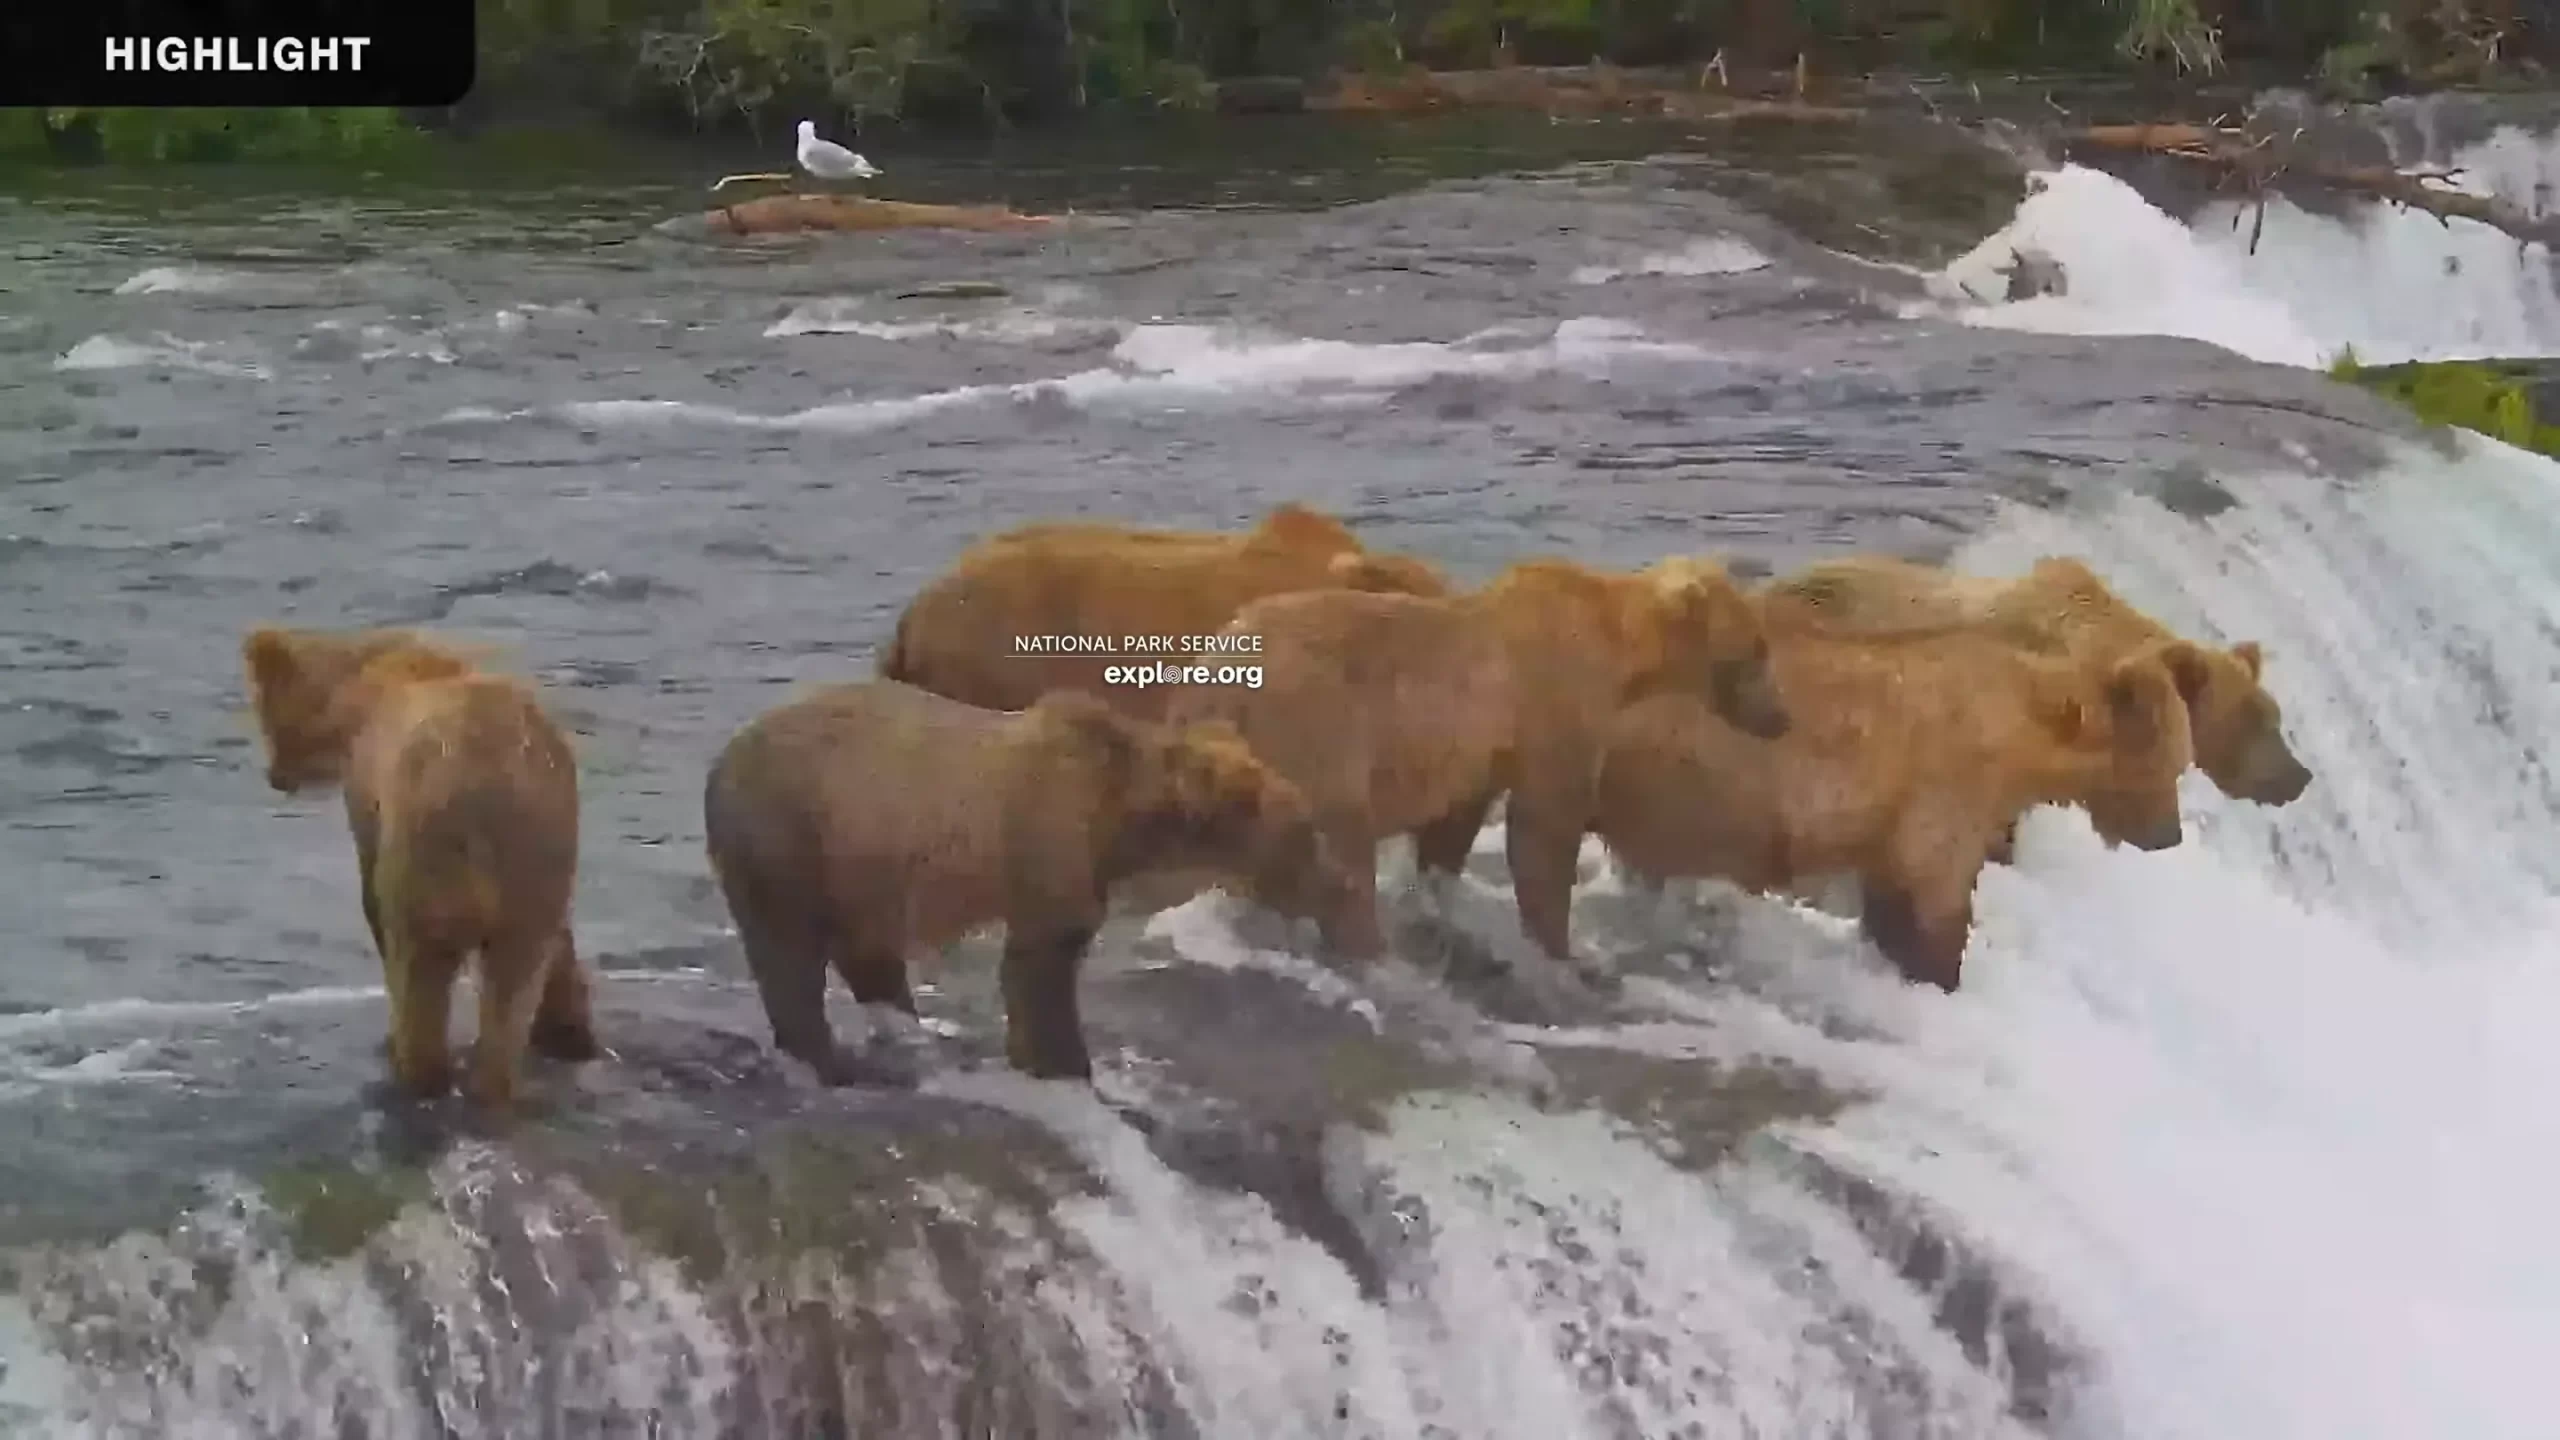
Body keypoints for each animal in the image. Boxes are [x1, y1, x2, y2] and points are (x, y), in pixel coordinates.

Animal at [240, 626, 597, 1109]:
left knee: (420, 969)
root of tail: (485, 788)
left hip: (428, 848)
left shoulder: (369, 789)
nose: (274, 776)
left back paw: (412, 1070)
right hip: (535, 845)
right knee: (512, 984)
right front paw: (568, 1030)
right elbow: (558, 946)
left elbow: (372, 894)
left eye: (261, 707)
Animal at [700, 679, 1356, 1083]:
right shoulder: (1045, 837)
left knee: (863, 949)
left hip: (856, 862)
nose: (1340, 881)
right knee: (787, 948)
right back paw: (826, 1055)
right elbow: (1040, 963)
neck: (1122, 814)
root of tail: (720, 762)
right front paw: (1064, 1062)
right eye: (1305, 827)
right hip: (792, 827)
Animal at [1160, 554, 1791, 966]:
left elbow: (1454, 822)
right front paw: (1567, 950)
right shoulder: (1551, 704)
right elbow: (1545, 827)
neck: (1625, 654)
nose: (1781, 718)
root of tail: (1215, 669)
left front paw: (1438, 904)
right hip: (1316, 724)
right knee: (1340, 840)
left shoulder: (1478, 749)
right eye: (1756, 648)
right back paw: (1363, 941)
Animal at [1590, 613, 2199, 992]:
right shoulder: (1946, 790)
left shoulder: (1888, 823)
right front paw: (1939, 974)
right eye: (2172, 763)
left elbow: (1890, 901)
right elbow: (1938, 906)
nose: (2169, 835)